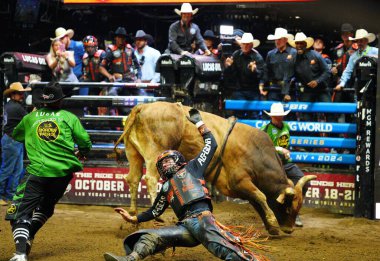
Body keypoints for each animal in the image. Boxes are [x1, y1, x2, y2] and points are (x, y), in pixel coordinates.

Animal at [114, 101, 316, 234]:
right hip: (155, 151)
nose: (289, 229)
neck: (254, 151)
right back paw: (158, 216)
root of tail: (141, 107)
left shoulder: (240, 188)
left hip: (133, 153)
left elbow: (257, 200)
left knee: (133, 178)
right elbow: (260, 196)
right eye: (289, 207)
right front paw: (273, 222)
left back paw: (133, 214)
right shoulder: (239, 181)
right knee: (150, 178)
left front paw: (270, 226)